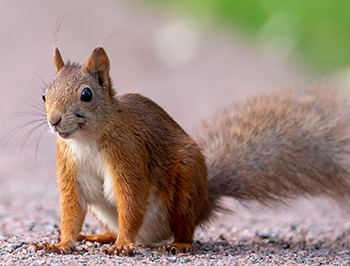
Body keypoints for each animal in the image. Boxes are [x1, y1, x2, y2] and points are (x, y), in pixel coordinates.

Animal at [33, 46, 350, 256]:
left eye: (86, 95)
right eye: (45, 94)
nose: (54, 121)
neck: (85, 142)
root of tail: (205, 201)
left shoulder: (129, 157)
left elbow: (131, 201)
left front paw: (123, 245)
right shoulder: (69, 170)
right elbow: (71, 212)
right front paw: (59, 244)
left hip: (184, 187)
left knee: (185, 229)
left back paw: (177, 244)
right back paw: (102, 236)